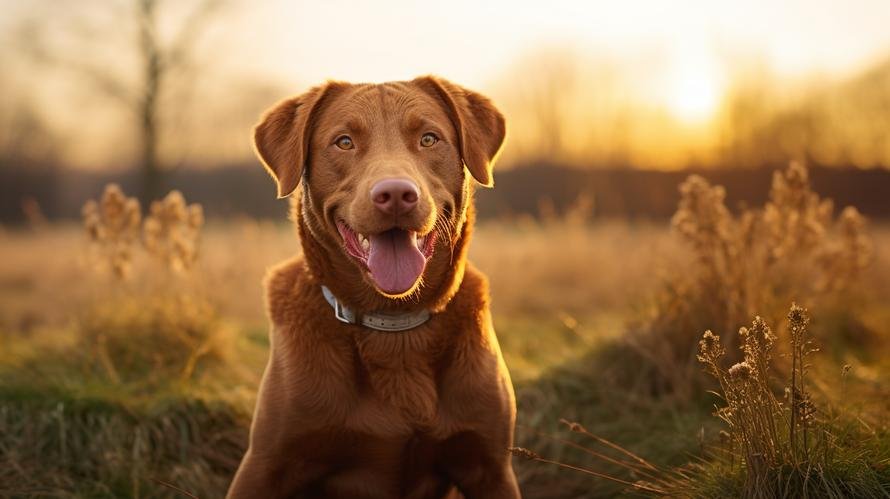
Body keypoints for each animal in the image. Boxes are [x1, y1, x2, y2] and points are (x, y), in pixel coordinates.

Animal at [227, 76, 520, 498]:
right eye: (344, 142)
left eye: (429, 138)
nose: (396, 194)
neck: (394, 323)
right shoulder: (265, 464)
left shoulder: (490, 466)